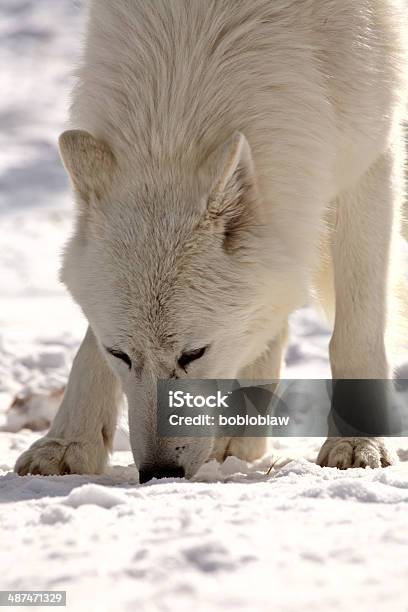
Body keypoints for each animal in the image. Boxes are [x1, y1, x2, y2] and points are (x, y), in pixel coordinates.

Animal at [15, 0, 408, 480]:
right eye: (121, 354)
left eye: (194, 353)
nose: (159, 471)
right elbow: (87, 349)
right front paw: (67, 443)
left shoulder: (371, 158)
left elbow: (357, 331)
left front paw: (358, 443)